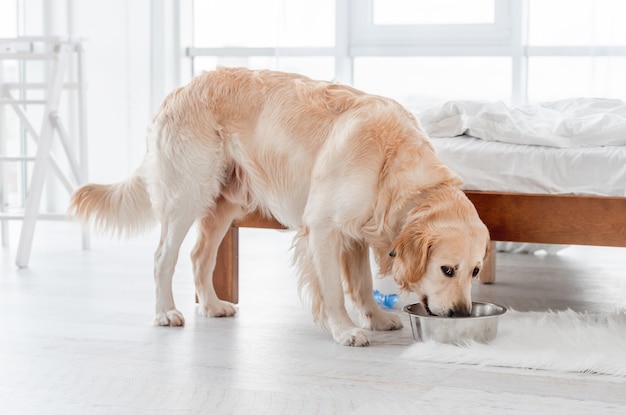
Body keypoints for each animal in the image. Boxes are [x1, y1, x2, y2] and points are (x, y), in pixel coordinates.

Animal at [68, 67, 488, 348]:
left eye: (475, 271)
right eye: (447, 269)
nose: (461, 314)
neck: (391, 163)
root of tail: (179, 89)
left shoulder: (355, 233)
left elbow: (361, 284)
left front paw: (377, 319)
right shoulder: (323, 228)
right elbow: (333, 290)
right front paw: (344, 330)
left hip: (225, 203)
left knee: (200, 256)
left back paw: (212, 305)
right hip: (186, 195)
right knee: (162, 258)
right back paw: (165, 313)